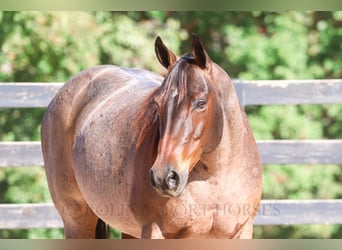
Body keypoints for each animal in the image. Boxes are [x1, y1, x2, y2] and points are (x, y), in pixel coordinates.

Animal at [41, 33, 264, 238]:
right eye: (157, 104)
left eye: (201, 103)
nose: (164, 177)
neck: (213, 180)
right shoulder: (155, 231)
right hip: (77, 221)